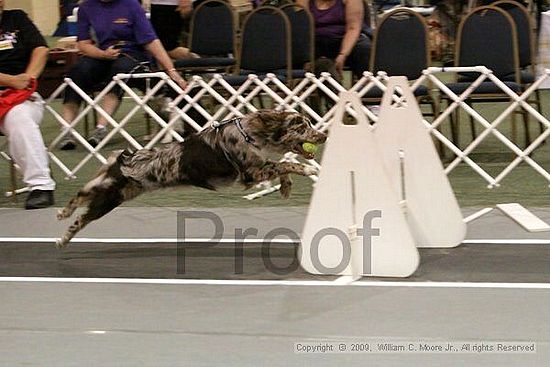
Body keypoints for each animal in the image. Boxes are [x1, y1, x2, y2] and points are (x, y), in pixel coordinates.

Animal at [56, 109, 328, 247]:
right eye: (302, 127)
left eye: (310, 123)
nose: (324, 136)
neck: (253, 134)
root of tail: (125, 159)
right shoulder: (250, 173)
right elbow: (287, 164)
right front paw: (308, 170)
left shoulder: (258, 169)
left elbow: (283, 166)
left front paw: (286, 188)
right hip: (108, 191)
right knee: (80, 197)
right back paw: (62, 215)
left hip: (114, 198)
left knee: (82, 217)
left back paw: (63, 237)